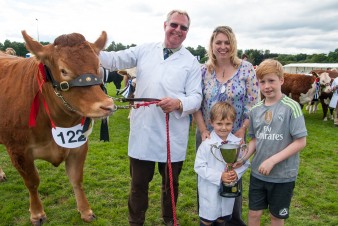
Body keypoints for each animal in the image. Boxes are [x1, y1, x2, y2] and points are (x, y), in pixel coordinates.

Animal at [0, 30, 115, 225]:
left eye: (99, 66)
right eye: (63, 70)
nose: (107, 106)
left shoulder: (78, 145)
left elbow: (76, 179)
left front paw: (85, 210)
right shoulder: (18, 151)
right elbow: (32, 182)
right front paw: (37, 213)